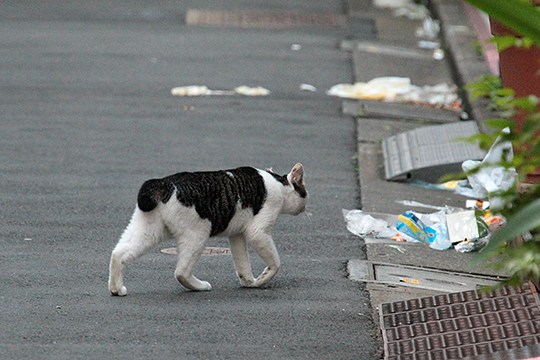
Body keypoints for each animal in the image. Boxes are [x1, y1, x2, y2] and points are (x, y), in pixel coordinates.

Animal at [108, 162, 308, 296]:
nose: (305, 208)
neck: (278, 184)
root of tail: (163, 183)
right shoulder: (258, 232)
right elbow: (275, 263)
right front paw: (262, 279)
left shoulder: (236, 235)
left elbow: (242, 263)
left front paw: (249, 281)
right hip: (197, 234)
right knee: (181, 272)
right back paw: (200, 286)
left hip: (148, 231)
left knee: (118, 253)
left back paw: (116, 288)